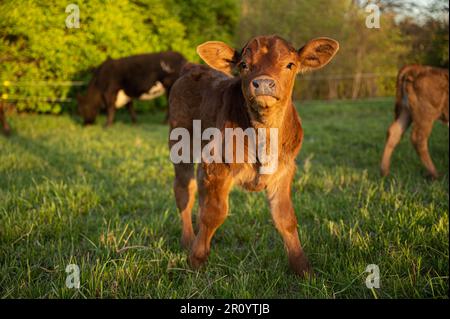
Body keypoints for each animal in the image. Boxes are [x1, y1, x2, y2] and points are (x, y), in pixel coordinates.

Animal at [169, 34, 338, 276]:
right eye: (244, 65)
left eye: (290, 64)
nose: (264, 83)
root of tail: (193, 67)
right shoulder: (217, 164)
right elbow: (214, 213)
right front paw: (196, 260)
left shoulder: (283, 171)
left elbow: (285, 218)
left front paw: (303, 269)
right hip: (180, 145)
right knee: (184, 191)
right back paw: (188, 239)